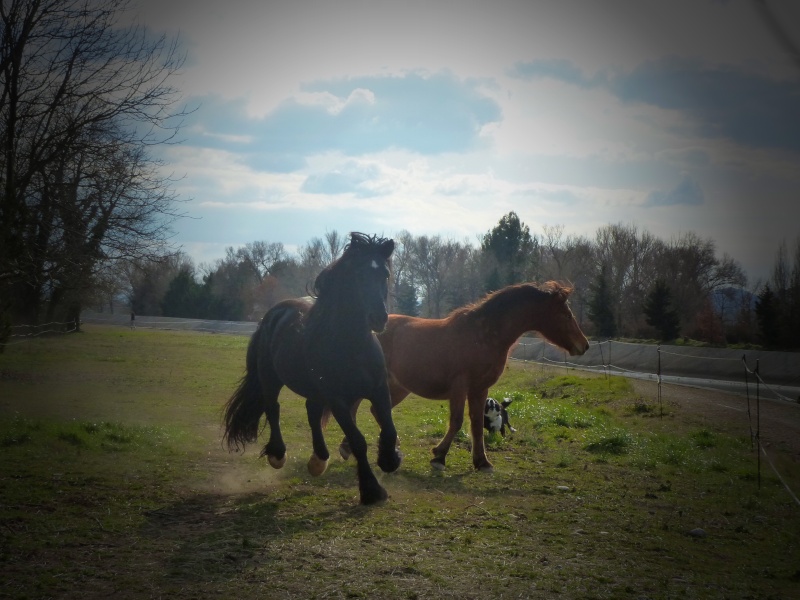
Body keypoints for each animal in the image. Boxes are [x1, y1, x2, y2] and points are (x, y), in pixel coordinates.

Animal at [222, 232, 400, 504]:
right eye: (358, 275)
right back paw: (278, 455)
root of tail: (273, 314)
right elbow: (357, 441)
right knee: (273, 408)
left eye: (385, 274)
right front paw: (371, 490)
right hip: (270, 378)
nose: (379, 318)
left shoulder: (378, 389)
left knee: (312, 412)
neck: (352, 345)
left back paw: (319, 460)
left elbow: (389, 429)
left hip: (314, 390)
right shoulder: (337, 399)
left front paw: (390, 461)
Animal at [338, 282, 588, 474]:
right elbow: (457, 421)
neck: (483, 335)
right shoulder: (460, 387)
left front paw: (482, 462)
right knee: (356, 407)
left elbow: (476, 425)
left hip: (398, 386)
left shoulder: (480, 389)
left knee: (374, 410)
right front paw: (439, 457)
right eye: (566, 315)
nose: (584, 345)